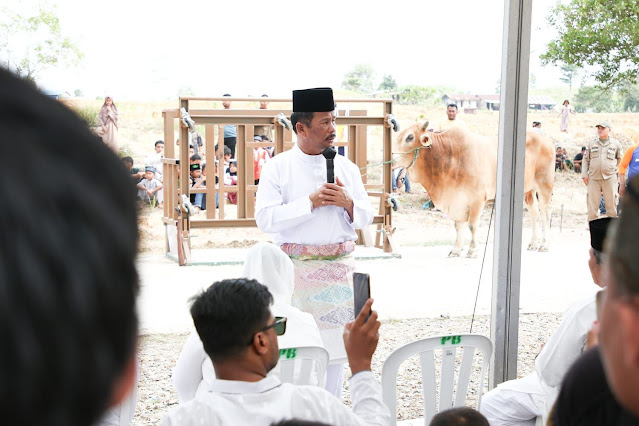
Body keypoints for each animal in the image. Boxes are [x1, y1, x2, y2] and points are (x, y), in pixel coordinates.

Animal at [390, 123, 556, 256]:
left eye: (410, 137)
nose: (391, 160)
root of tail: (547, 141)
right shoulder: (457, 200)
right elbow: (458, 226)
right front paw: (456, 250)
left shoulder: (477, 200)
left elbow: (472, 225)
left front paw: (472, 250)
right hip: (528, 191)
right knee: (534, 214)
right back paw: (533, 243)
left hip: (545, 186)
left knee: (545, 214)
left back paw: (544, 245)